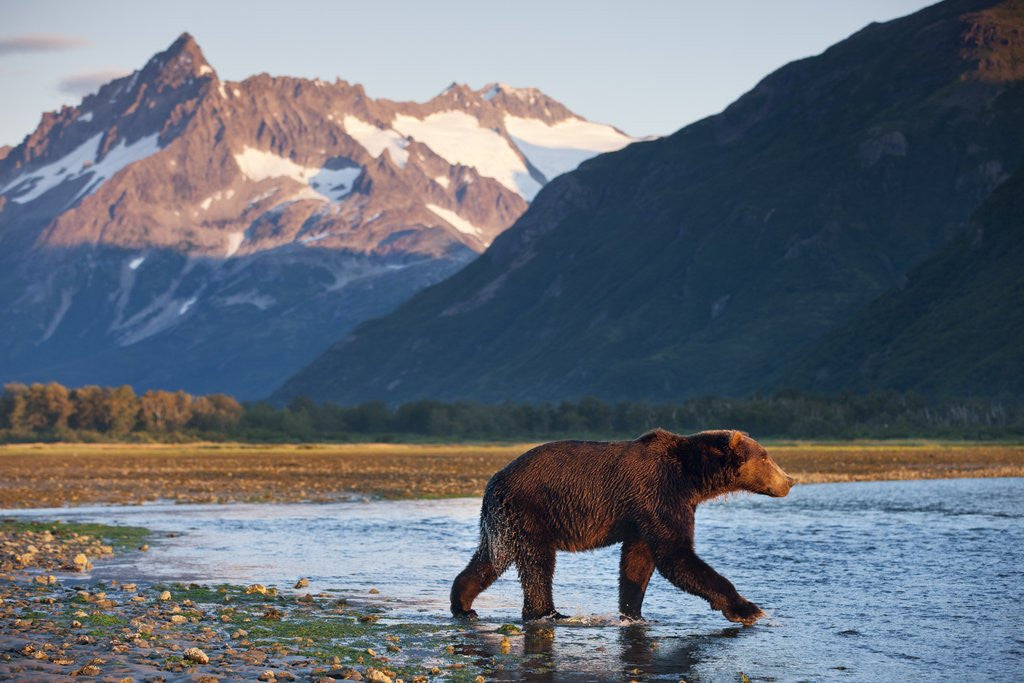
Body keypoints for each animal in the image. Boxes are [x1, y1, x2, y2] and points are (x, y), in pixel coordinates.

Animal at [450, 428, 794, 625]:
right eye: (766, 457)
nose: (790, 480)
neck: (691, 477)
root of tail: (493, 483)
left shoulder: (643, 514)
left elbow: (637, 562)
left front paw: (634, 613)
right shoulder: (659, 494)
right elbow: (676, 555)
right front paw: (748, 609)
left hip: (504, 523)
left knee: (490, 559)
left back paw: (463, 604)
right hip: (532, 511)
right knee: (538, 564)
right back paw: (548, 612)